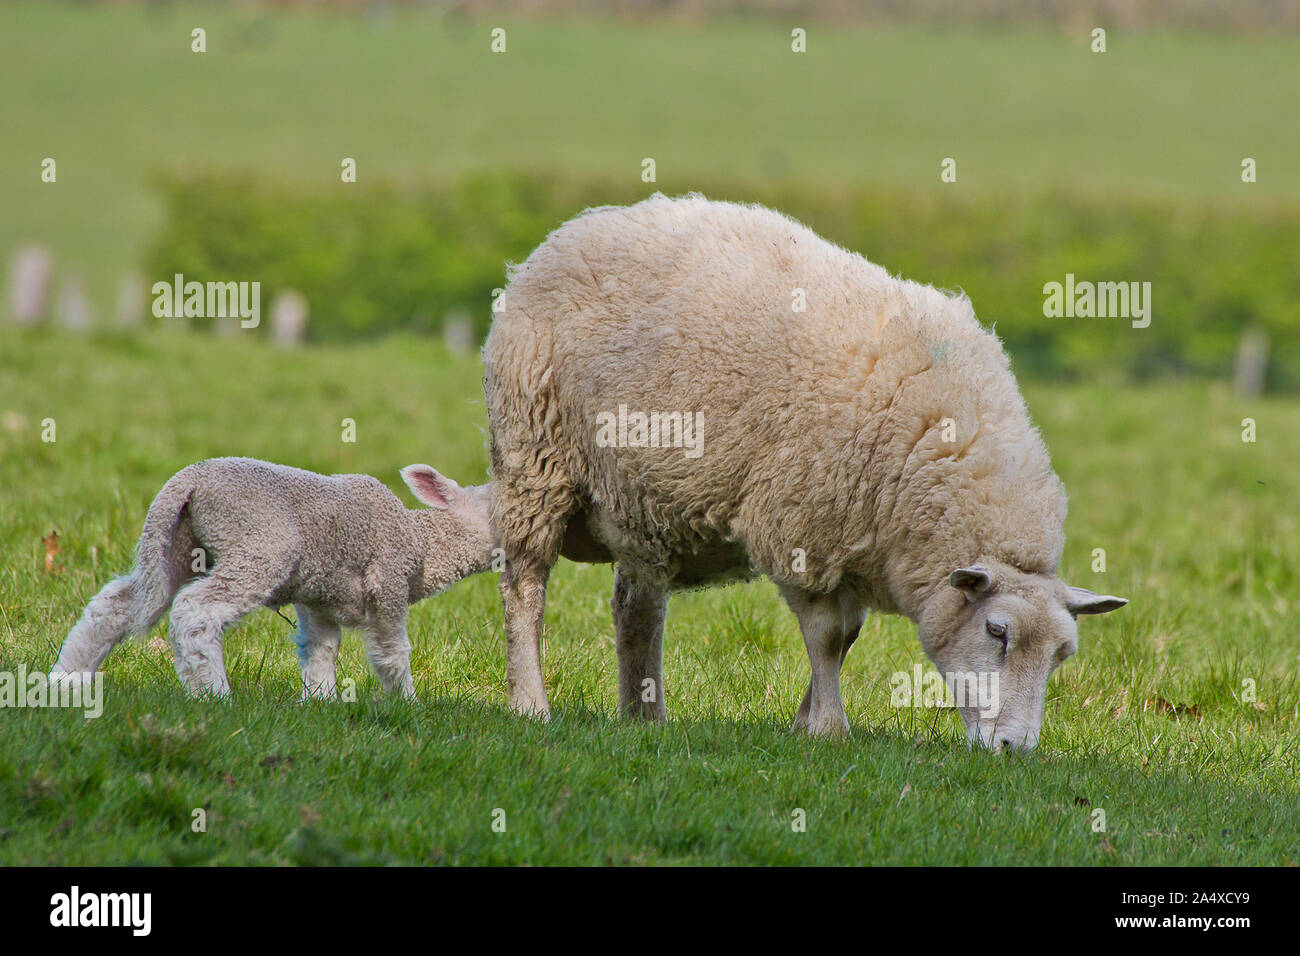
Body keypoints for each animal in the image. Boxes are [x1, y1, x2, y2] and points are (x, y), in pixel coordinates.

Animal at [50, 460, 491, 697]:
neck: (421, 543)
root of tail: (188, 480)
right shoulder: (388, 582)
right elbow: (392, 654)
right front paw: (407, 703)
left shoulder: (319, 600)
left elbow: (321, 651)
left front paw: (321, 702)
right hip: (256, 545)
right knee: (196, 611)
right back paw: (213, 695)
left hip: (173, 545)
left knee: (118, 604)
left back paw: (65, 680)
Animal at [488, 191, 1128, 749]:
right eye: (998, 633)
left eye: (1061, 655)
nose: (1015, 751)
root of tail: (576, 228)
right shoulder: (804, 529)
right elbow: (829, 635)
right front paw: (828, 729)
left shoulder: (855, 538)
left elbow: (847, 638)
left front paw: (806, 721)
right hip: (535, 459)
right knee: (525, 583)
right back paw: (531, 703)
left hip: (640, 503)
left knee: (636, 606)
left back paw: (643, 716)